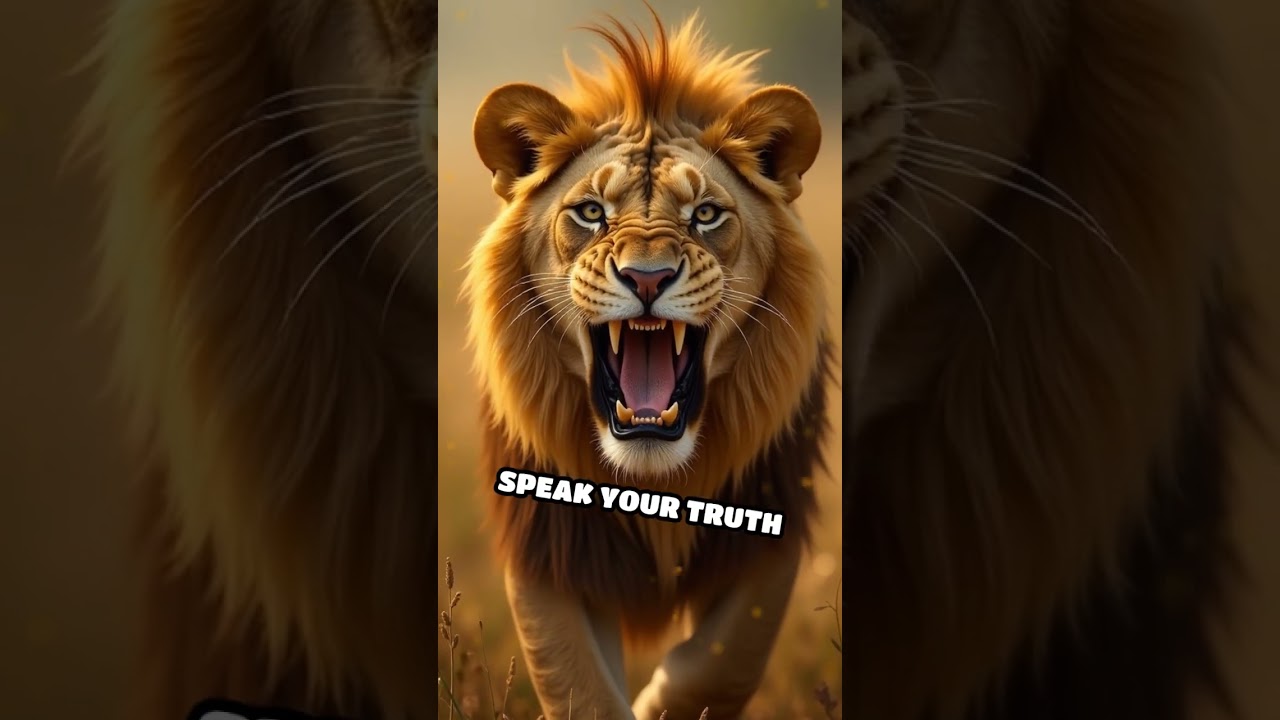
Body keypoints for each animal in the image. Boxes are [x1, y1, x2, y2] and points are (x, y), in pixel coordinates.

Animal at [462, 9, 833, 720]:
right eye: (590, 212)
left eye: (706, 214)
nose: (648, 277)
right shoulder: (546, 546)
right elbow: (577, 686)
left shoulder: (768, 529)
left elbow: (721, 665)